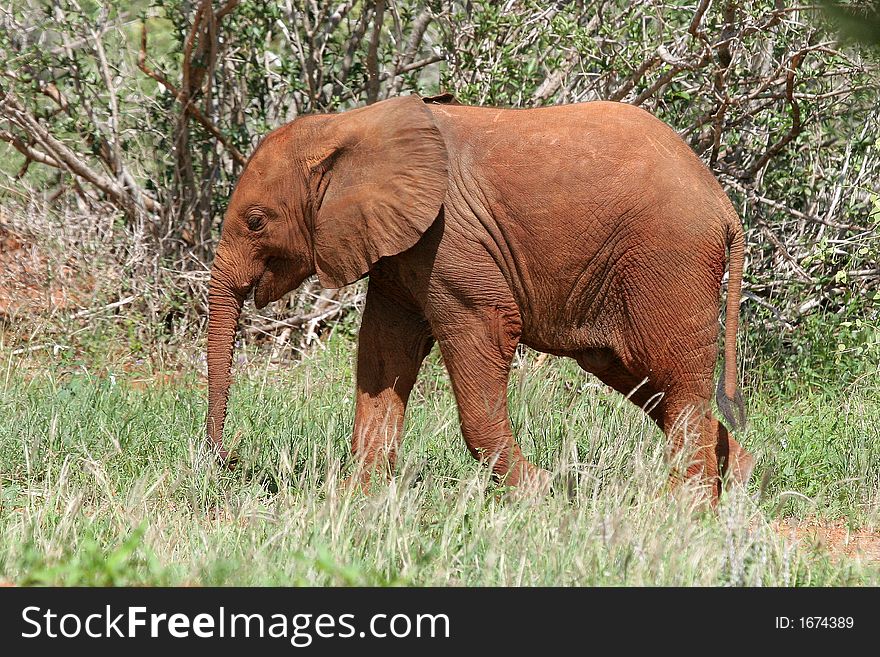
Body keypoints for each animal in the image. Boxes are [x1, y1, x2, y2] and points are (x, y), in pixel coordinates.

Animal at [203, 91, 752, 502]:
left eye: (256, 221)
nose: (227, 458)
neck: (345, 127)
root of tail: (724, 204)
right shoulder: (401, 247)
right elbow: (383, 350)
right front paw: (357, 500)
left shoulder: (450, 237)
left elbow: (482, 332)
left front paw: (540, 493)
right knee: (640, 375)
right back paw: (739, 482)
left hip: (669, 258)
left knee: (676, 381)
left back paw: (686, 509)